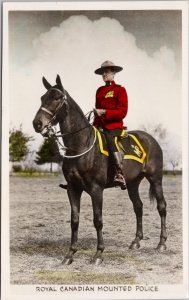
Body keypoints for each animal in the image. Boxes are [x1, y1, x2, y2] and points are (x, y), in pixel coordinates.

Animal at [32, 74, 167, 264]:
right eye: (42, 98)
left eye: (57, 98)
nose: (37, 123)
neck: (81, 144)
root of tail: (151, 139)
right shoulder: (73, 189)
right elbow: (74, 220)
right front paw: (70, 254)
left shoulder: (96, 190)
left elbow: (98, 220)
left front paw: (98, 253)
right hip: (133, 183)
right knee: (138, 207)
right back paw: (136, 241)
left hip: (155, 179)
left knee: (161, 207)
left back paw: (161, 243)